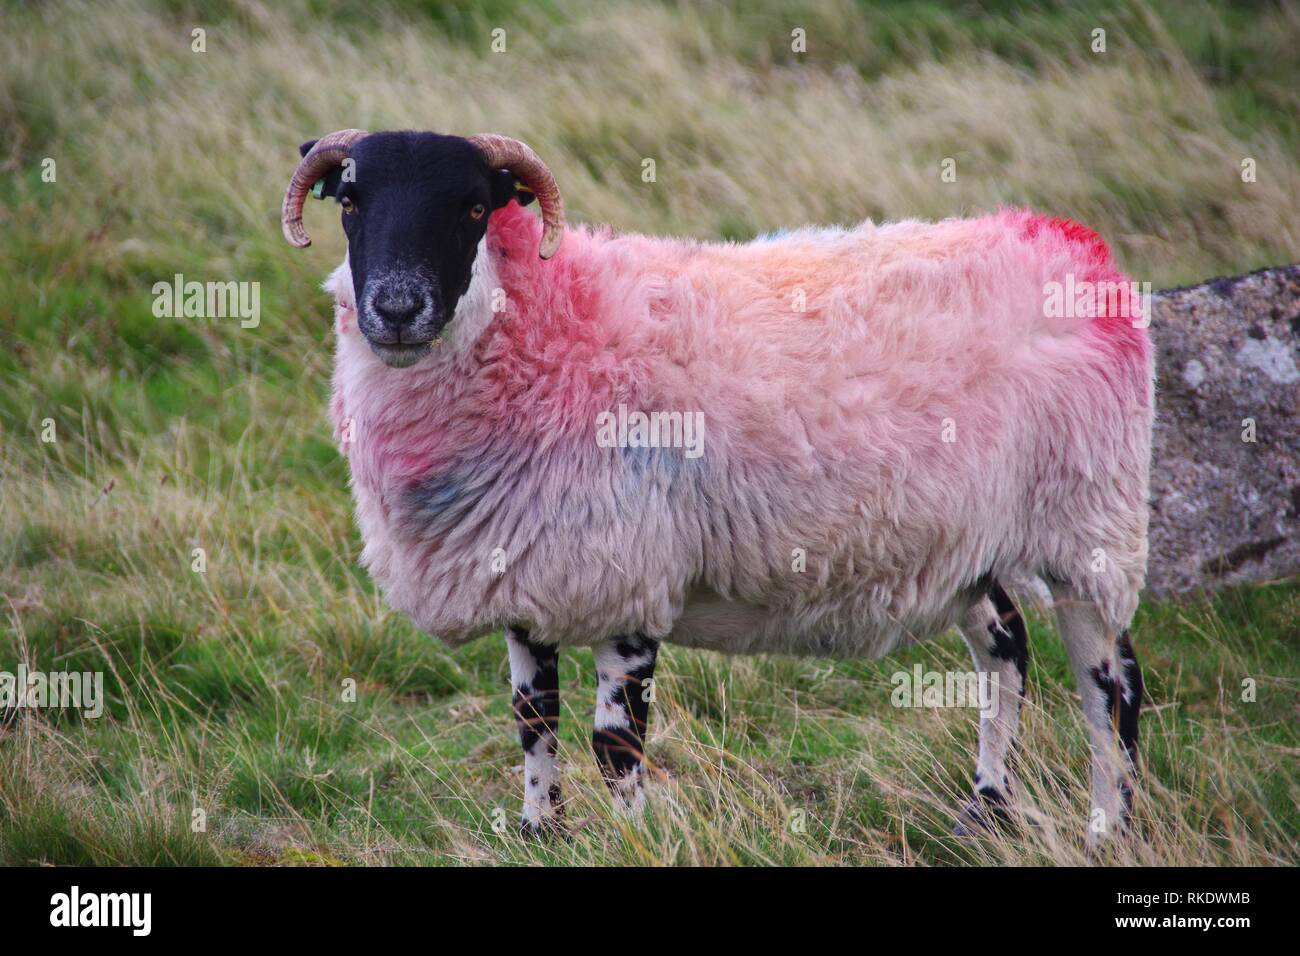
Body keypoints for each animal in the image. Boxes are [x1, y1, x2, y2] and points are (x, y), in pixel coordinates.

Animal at [282, 130, 1149, 842]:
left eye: (471, 206)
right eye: (351, 202)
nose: (397, 309)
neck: (552, 322)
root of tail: (1073, 245)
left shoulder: (630, 576)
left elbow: (614, 743)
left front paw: (638, 841)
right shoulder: (527, 573)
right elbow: (534, 721)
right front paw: (540, 832)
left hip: (1089, 523)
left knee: (1112, 684)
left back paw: (1109, 828)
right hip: (967, 539)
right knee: (1006, 648)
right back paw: (986, 811)